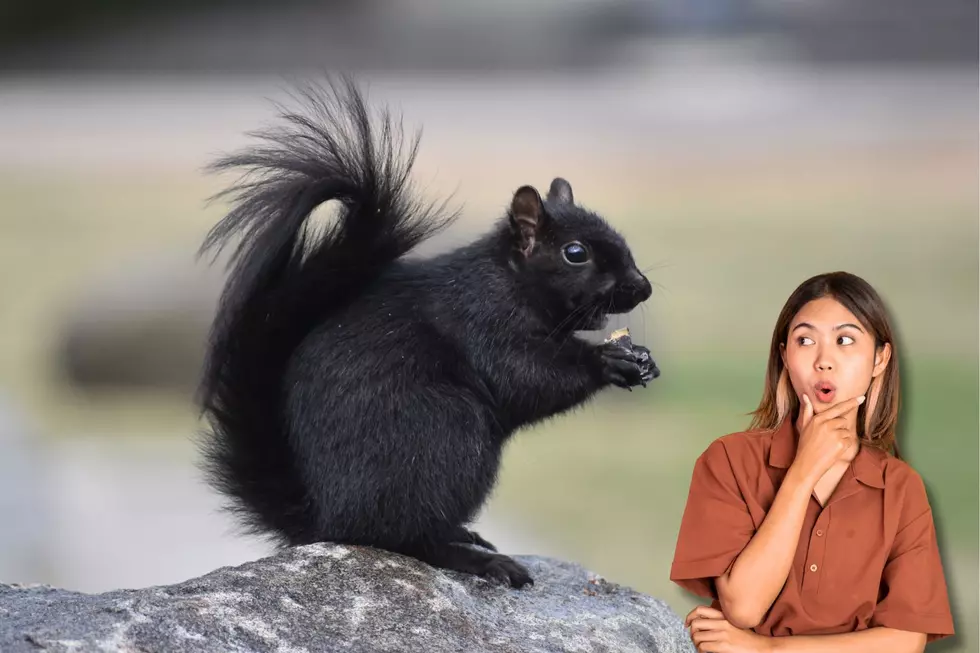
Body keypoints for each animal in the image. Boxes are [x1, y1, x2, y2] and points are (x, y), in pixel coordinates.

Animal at [196, 77, 659, 589]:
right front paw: (607, 361)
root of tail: (327, 518)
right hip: (445, 437)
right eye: (575, 253)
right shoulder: (484, 324)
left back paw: (466, 535)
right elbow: (527, 377)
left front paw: (642, 359)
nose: (643, 286)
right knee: (403, 538)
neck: (510, 282)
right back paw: (477, 559)